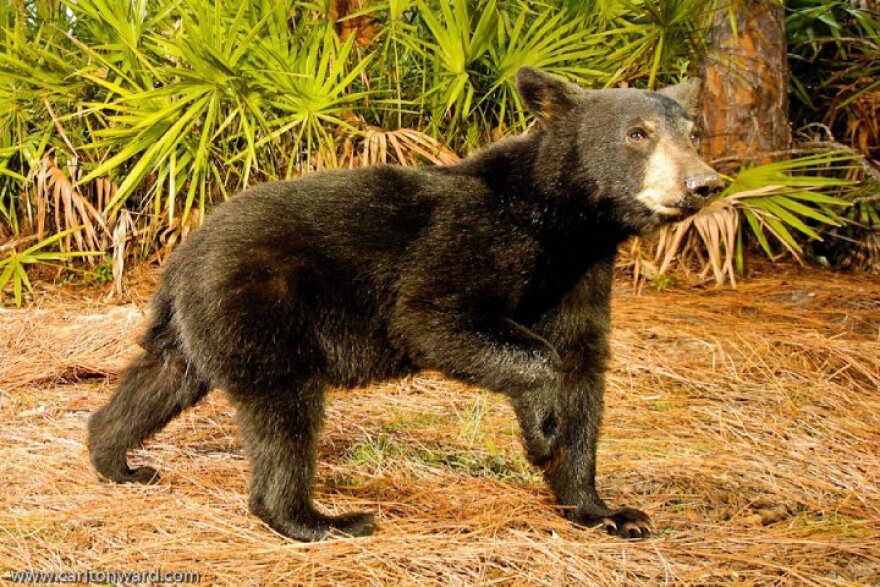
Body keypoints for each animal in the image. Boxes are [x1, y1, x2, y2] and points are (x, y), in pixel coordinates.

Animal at [89, 66, 720, 540]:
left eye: (693, 133)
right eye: (638, 133)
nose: (704, 184)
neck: (567, 224)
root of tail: (182, 256)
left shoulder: (582, 276)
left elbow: (584, 370)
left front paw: (604, 510)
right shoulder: (471, 237)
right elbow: (434, 318)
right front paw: (543, 435)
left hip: (199, 323)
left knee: (160, 378)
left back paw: (116, 458)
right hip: (262, 303)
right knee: (284, 409)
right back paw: (318, 519)